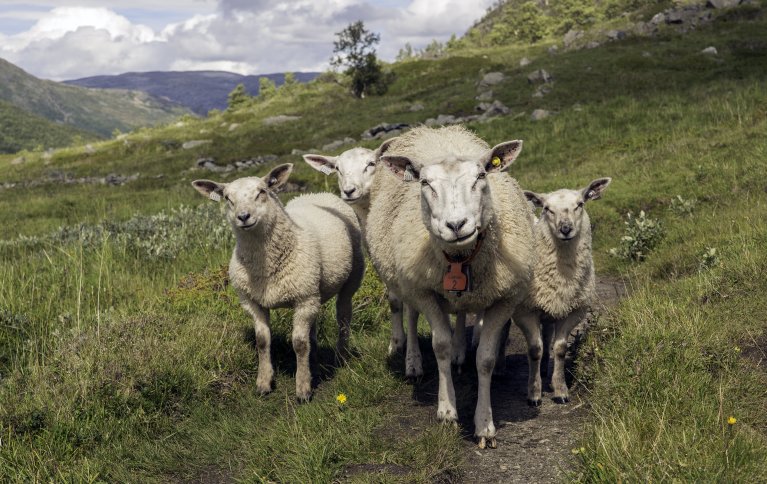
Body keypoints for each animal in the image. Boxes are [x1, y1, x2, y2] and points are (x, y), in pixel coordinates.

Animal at [192, 164, 366, 402]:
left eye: (261, 192)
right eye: (227, 198)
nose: (243, 217)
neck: (266, 265)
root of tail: (318, 193)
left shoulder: (303, 299)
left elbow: (299, 344)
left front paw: (303, 389)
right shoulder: (253, 302)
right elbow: (262, 340)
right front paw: (264, 382)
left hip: (350, 278)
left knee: (343, 316)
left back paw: (341, 355)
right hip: (313, 290)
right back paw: (314, 354)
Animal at [304, 147, 428, 378]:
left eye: (371, 164)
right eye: (337, 168)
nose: (349, 191)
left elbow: (412, 308)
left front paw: (413, 360)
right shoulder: (386, 261)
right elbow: (395, 302)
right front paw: (396, 345)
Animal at [364, 126, 536, 448]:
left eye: (481, 176)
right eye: (425, 183)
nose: (456, 225)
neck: (460, 257)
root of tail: (434, 129)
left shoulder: (504, 299)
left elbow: (485, 359)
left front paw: (484, 425)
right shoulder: (425, 292)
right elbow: (439, 345)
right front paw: (446, 412)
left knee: (460, 311)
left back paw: (459, 351)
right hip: (406, 279)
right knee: (410, 315)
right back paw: (414, 363)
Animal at [512, 178, 616, 404]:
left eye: (580, 204)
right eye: (547, 209)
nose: (566, 228)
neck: (562, 275)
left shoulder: (573, 310)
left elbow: (559, 349)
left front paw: (560, 389)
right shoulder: (524, 311)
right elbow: (534, 349)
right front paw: (534, 393)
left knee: (547, 335)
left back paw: (544, 371)